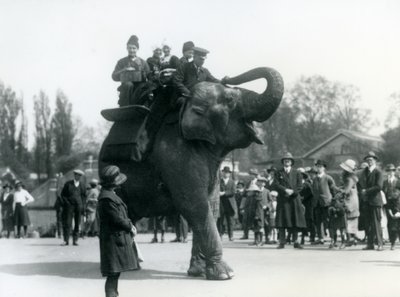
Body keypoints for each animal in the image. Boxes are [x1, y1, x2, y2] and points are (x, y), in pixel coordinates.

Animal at [99, 66, 284, 278]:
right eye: (230, 99)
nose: (227, 77)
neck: (185, 105)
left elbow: (211, 205)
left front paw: (198, 271)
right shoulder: (175, 153)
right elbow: (194, 204)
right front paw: (225, 274)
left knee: (130, 215)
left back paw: (135, 265)